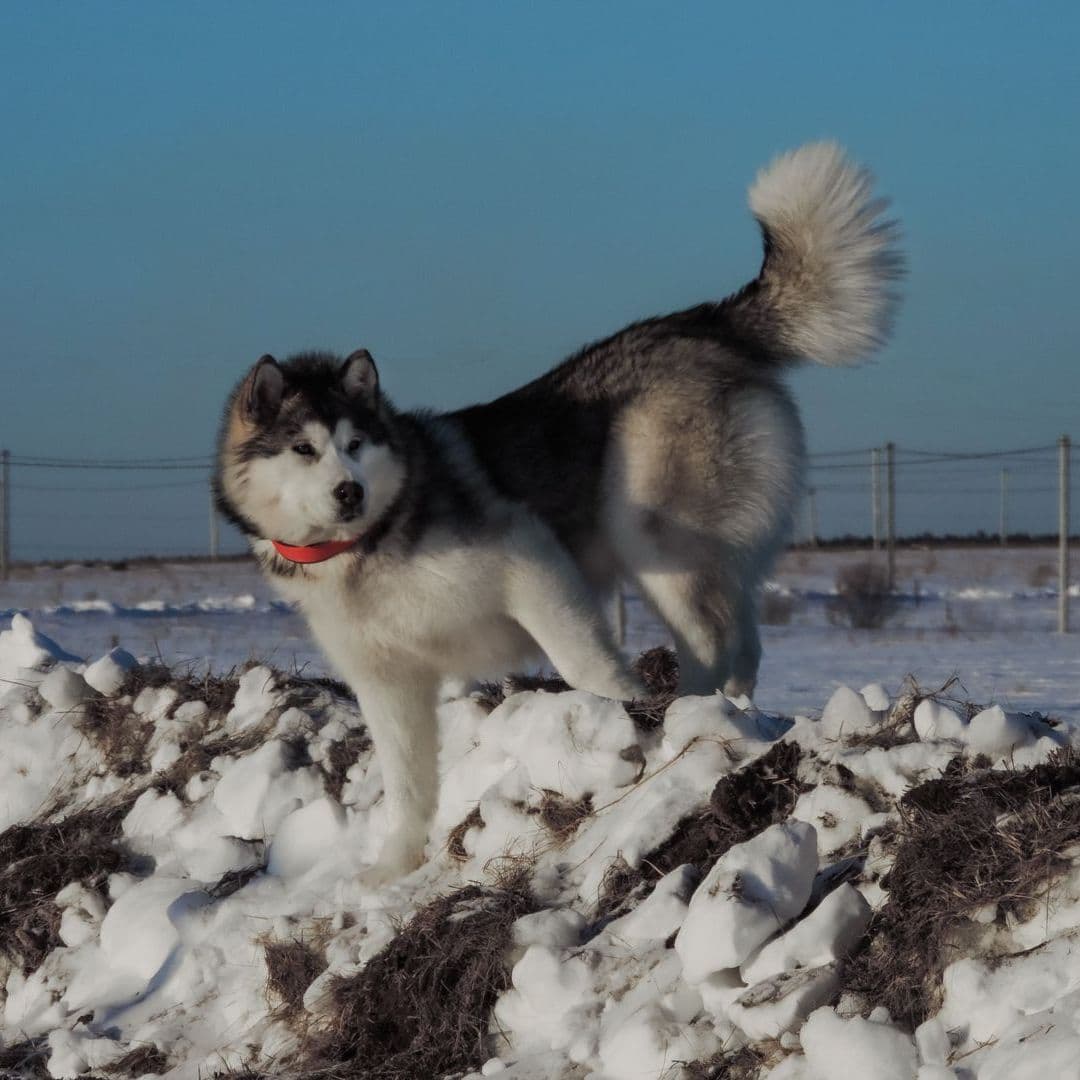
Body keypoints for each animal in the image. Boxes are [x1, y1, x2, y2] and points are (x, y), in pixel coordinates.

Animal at [212, 141, 902, 885]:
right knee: (743, 640)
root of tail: (698, 322)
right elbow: (408, 781)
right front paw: (396, 863)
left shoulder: (532, 563)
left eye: (355, 444)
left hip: (653, 542)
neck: (371, 543)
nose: (350, 493)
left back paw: (683, 721)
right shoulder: (388, 682)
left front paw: (624, 710)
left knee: (714, 641)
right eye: (304, 449)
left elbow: (585, 665)